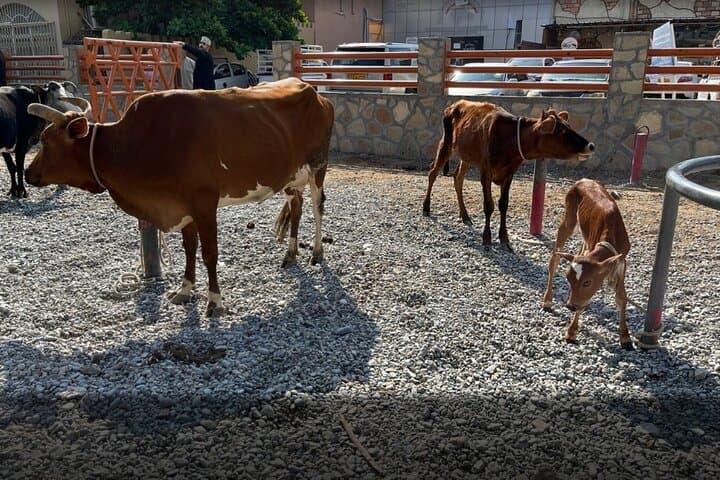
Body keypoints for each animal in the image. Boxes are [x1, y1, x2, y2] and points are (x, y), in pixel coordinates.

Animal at [25, 77, 334, 316]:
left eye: (45, 140)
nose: (28, 173)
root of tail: (314, 92)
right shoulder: (182, 205)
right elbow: (189, 249)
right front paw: (185, 289)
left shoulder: (204, 203)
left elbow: (209, 253)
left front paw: (215, 302)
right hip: (290, 175)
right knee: (297, 206)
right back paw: (290, 253)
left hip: (318, 166)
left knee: (317, 207)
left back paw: (317, 252)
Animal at [422, 101, 595, 250]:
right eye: (561, 131)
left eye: (569, 127)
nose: (591, 145)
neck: (509, 140)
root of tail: (455, 104)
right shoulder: (486, 170)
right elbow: (489, 205)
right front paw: (487, 238)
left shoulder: (509, 173)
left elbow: (503, 204)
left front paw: (504, 238)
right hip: (446, 143)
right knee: (433, 173)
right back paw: (426, 208)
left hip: (466, 155)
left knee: (458, 178)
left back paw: (465, 216)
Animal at [541, 178, 632, 350]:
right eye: (568, 279)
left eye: (587, 282)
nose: (570, 306)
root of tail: (583, 180)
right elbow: (583, 303)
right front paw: (571, 332)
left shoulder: (621, 261)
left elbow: (621, 297)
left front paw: (625, 337)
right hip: (569, 219)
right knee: (554, 258)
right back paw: (547, 300)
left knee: (578, 252)